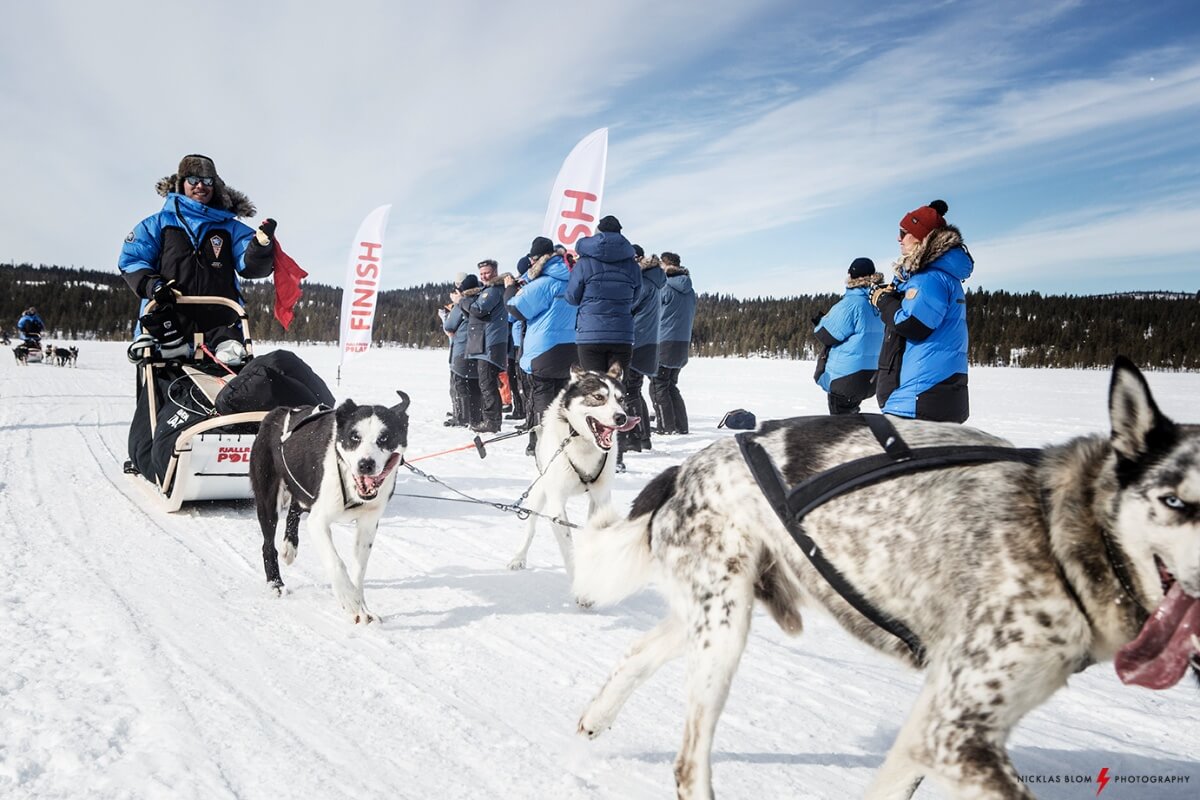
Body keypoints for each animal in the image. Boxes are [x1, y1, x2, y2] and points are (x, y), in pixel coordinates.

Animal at [247, 393, 408, 623]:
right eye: (354, 437)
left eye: (384, 438)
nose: (365, 464)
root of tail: (277, 411)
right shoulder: (318, 521)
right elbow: (336, 562)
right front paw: (349, 598)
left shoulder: (368, 524)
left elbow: (359, 569)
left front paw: (362, 608)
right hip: (267, 501)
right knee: (268, 545)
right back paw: (275, 583)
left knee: (295, 507)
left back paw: (290, 546)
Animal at [508, 364, 638, 582]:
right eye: (598, 397)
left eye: (621, 399)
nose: (621, 417)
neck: (582, 444)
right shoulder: (556, 505)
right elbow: (568, 548)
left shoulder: (601, 498)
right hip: (539, 492)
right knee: (531, 526)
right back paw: (518, 557)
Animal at [573, 357, 1200, 800]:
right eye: (1174, 500)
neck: (1058, 524)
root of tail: (687, 467)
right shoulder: (955, 733)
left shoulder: (937, 724)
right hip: (724, 631)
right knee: (687, 763)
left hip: (718, 614)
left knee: (638, 653)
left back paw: (593, 718)